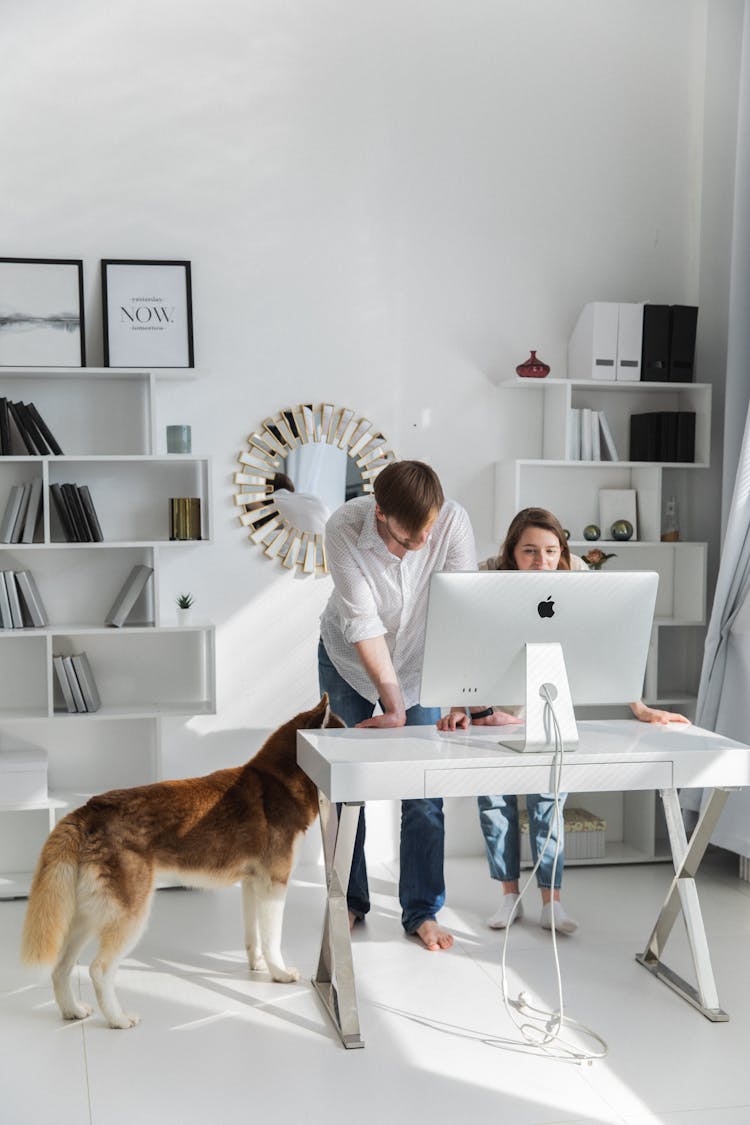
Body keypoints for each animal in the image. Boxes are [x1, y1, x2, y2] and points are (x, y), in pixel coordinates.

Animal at [21, 693, 339, 1030]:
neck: (278, 780)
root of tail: (89, 810)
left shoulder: (252, 883)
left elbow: (253, 937)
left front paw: (257, 967)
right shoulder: (274, 883)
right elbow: (272, 939)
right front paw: (279, 973)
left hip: (89, 915)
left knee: (61, 966)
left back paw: (72, 1010)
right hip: (130, 914)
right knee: (99, 970)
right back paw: (118, 1019)